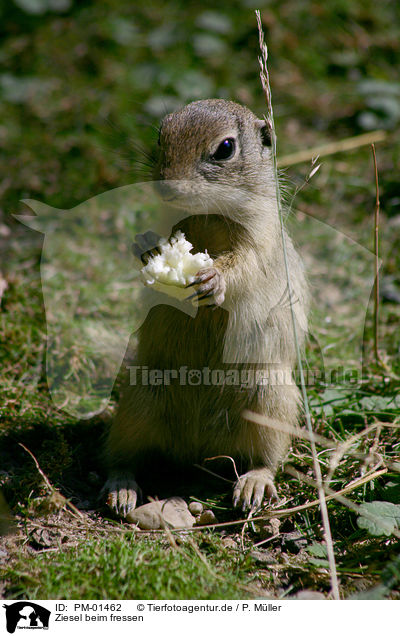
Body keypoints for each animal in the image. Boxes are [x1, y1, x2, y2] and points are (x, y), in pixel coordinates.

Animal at [103, 99, 310, 516]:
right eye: (161, 135)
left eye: (225, 148)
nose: (165, 185)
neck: (208, 213)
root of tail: (197, 451)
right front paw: (146, 246)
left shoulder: (261, 241)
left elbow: (246, 265)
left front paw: (214, 278)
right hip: (137, 403)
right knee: (121, 457)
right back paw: (122, 488)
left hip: (271, 401)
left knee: (266, 459)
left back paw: (253, 485)